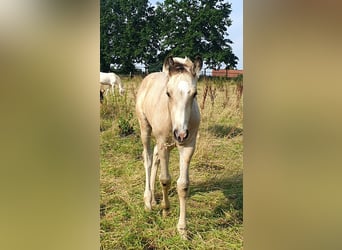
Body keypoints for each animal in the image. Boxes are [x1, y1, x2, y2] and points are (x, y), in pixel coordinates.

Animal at [136, 55, 202, 238]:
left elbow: (183, 185)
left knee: (155, 158)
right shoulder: (163, 143)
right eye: (168, 93)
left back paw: (152, 199)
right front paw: (165, 210)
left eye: (195, 94)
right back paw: (148, 201)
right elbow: (165, 180)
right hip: (145, 128)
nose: (180, 133)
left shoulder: (188, 146)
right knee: (148, 158)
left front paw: (182, 229)